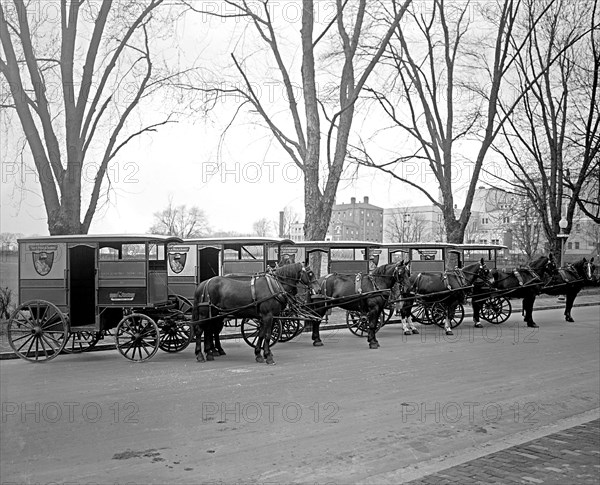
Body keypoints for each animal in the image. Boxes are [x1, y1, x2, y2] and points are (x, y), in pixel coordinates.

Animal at [193, 260, 322, 364]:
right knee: (200, 330)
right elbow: (267, 335)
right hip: (205, 314)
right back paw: (200, 354)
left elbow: (262, 334)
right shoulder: (267, 316)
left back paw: (209, 353)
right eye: (310, 273)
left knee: (209, 331)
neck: (275, 286)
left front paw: (260, 354)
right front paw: (268, 356)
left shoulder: (271, 317)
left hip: (214, 314)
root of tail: (204, 283)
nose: (319, 289)